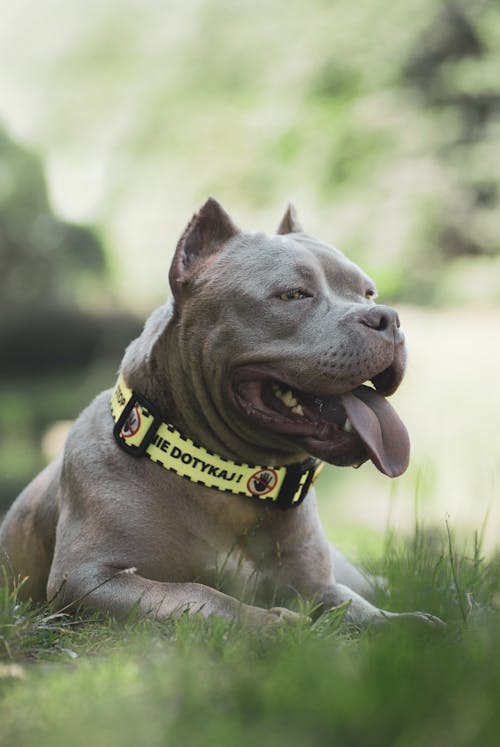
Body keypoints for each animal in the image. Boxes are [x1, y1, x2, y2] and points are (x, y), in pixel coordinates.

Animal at [0, 197, 442, 624]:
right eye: (293, 295)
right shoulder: (87, 578)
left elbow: (354, 606)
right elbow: (197, 595)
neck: (232, 480)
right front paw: (270, 623)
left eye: (368, 293)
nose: (389, 318)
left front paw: (403, 622)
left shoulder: (319, 587)